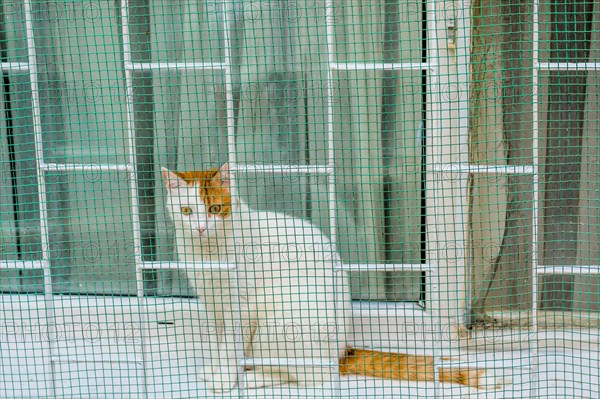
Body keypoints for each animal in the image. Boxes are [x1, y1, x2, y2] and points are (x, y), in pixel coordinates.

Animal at [162, 163, 504, 394]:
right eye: (187, 210)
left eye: (215, 208)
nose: (200, 228)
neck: (208, 252)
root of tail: (342, 351)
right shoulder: (213, 304)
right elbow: (220, 341)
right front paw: (217, 367)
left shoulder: (242, 306)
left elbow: (231, 345)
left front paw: (224, 377)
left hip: (279, 326)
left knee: (312, 376)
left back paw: (253, 376)